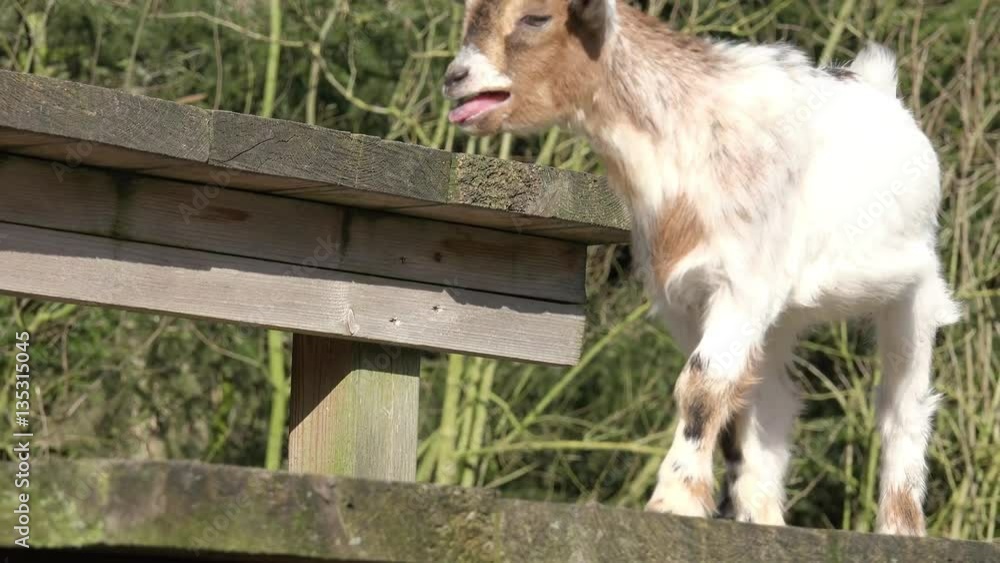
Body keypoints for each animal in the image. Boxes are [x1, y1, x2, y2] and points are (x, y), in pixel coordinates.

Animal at [443, 0, 959, 536]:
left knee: (904, 407)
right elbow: (723, 395)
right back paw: (764, 515)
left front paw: (675, 498)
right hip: (782, 316)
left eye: (536, 18)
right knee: (773, 399)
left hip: (914, 291)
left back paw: (900, 528)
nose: (455, 77)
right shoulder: (685, 297)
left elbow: (702, 385)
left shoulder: (744, 282)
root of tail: (875, 83)